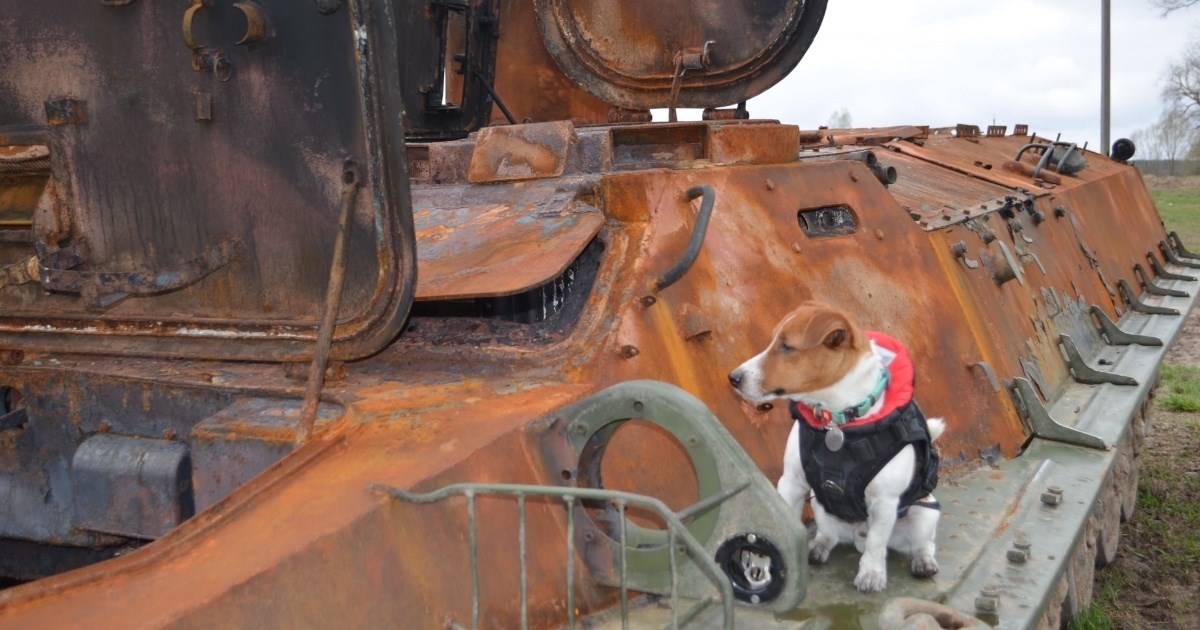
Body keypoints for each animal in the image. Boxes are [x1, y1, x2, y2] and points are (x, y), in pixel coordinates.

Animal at [724, 302, 940, 592]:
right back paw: (816, 548)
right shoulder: (791, 483)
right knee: (828, 535)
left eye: (787, 347)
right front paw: (762, 562)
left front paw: (871, 574)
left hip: (924, 513)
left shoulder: (885, 501)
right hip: (819, 506)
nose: (733, 377)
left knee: (921, 543)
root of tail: (857, 535)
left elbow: (876, 543)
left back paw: (923, 561)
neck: (836, 421)